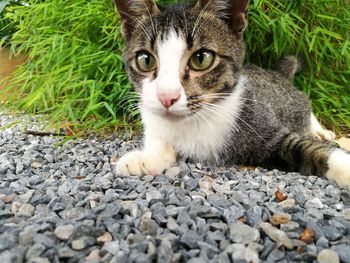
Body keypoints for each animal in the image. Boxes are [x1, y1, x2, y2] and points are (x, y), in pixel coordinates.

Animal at [113, 0, 350, 188]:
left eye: (201, 58)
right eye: (145, 60)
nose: (166, 96)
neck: (196, 121)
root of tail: (276, 73)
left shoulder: (269, 130)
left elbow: (312, 150)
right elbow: (159, 141)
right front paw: (144, 158)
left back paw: (320, 131)